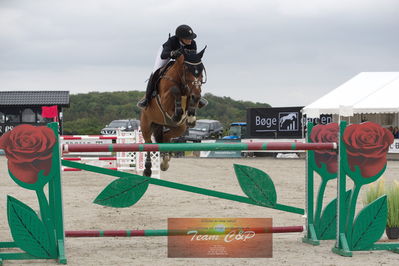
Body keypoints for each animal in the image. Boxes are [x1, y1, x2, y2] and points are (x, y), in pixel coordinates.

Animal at [140, 47, 206, 177]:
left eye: (201, 69)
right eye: (187, 69)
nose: (196, 94)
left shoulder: (192, 92)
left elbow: (192, 100)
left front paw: (191, 117)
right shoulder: (165, 99)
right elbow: (175, 90)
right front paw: (177, 114)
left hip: (179, 128)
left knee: (166, 137)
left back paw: (165, 161)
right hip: (146, 125)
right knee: (148, 143)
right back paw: (148, 170)